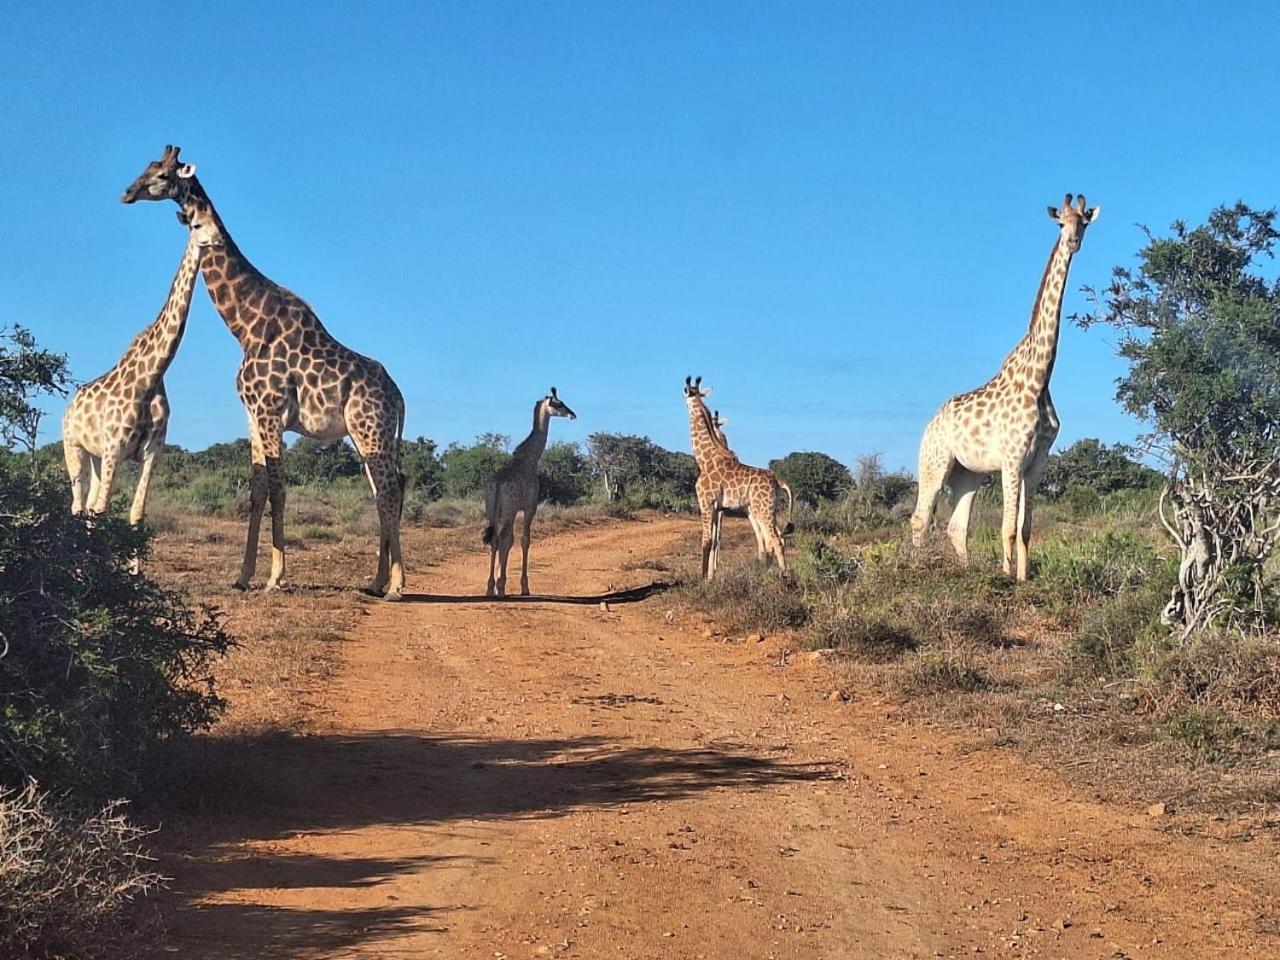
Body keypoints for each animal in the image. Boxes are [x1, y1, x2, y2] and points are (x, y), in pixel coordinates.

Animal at [60, 203, 216, 542]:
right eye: (196, 225)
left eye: (218, 221)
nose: (216, 240)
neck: (151, 377)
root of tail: (69, 406)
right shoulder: (115, 447)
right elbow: (103, 509)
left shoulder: (152, 451)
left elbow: (136, 514)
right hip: (74, 448)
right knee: (79, 506)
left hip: (96, 456)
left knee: (87, 507)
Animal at [122, 147, 407, 601]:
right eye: (146, 167)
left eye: (163, 174)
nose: (127, 193)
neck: (246, 327)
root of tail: (398, 394)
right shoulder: (252, 414)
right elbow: (256, 491)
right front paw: (243, 576)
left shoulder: (271, 411)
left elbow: (278, 489)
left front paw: (276, 578)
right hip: (367, 437)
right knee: (384, 491)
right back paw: (377, 581)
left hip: (371, 429)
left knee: (390, 492)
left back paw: (396, 585)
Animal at [481, 386, 578, 599]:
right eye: (559, 404)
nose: (573, 414)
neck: (531, 458)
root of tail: (497, 484)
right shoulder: (530, 507)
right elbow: (525, 540)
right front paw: (524, 587)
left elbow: (511, 541)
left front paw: (500, 584)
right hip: (508, 511)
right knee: (503, 538)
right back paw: (500, 587)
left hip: (492, 510)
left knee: (495, 539)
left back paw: (490, 588)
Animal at [686, 378, 793, 583]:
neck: (705, 459)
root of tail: (777, 481)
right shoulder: (717, 508)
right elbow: (714, 540)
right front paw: (710, 576)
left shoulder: (706, 502)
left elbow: (707, 540)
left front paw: (703, 578)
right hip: (764, 510)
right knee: (773, 540)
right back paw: (766, 575)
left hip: (762, 510)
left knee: (775, 540)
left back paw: (784, 577)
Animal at [911, 190, 1100, 576]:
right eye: (1061, 223)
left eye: (1084, 223)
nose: (1073, 242)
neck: (1039, 377)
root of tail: (929, 425)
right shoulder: (1012, 458)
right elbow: (1008, 527)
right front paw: (1006, 578)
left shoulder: (1037, 462)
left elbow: (1026, 528)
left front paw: (1024, 579)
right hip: (934, 462)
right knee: (920, 518)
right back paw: (918, 568)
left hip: (968, 474)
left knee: (956, 526)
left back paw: (966, 573)